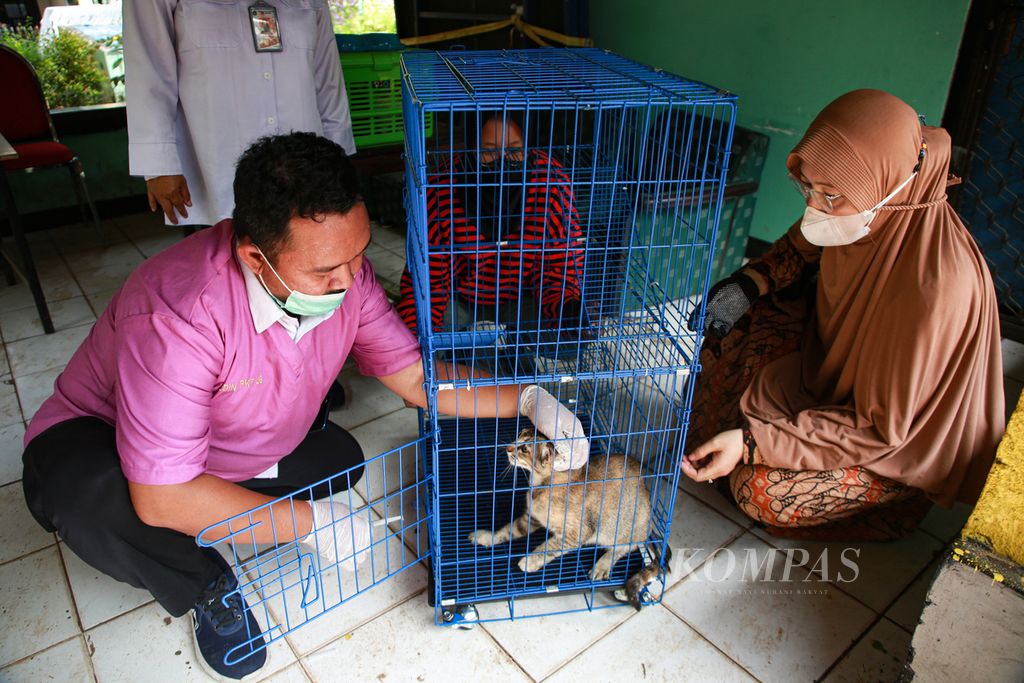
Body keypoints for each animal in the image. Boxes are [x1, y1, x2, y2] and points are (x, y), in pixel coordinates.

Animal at [468, 430, 667, 610]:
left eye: (524, 448)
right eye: (519, 436)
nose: (508, 447)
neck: (540, 485)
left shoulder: (576, 533)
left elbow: (548, 547)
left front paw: (530, 561)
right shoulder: (531, 518)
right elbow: (507, 530)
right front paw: (487, 537)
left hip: (624, 529)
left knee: (623, 548)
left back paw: (602, 565)